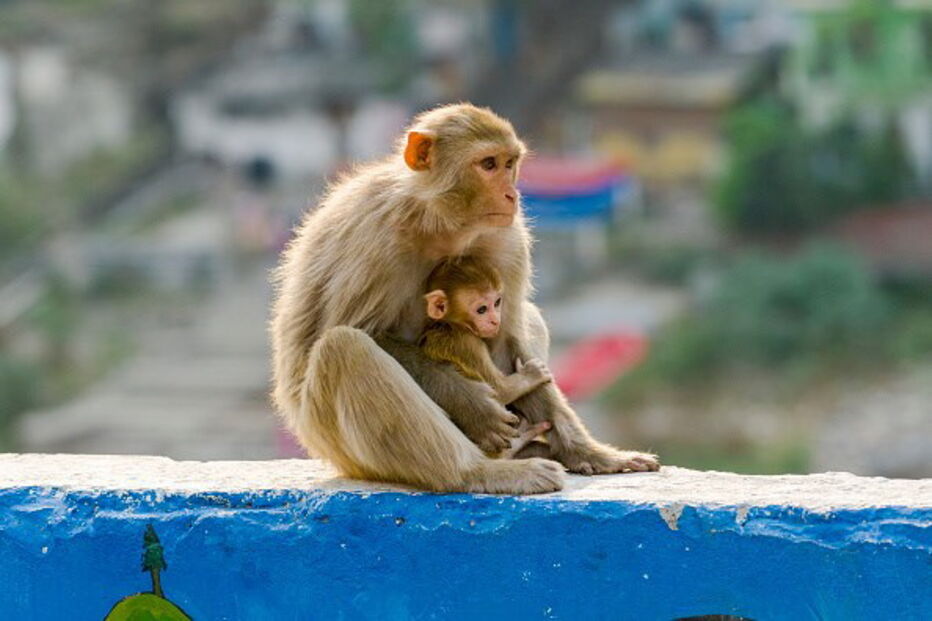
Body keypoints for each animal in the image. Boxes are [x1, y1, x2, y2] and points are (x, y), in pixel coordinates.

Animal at [419, 256, 554, 458]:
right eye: (481, 309)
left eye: (496, 303)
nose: (495, 320)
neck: (450, 326)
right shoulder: (469, 344)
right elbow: (500, 391)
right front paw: (531, 374)